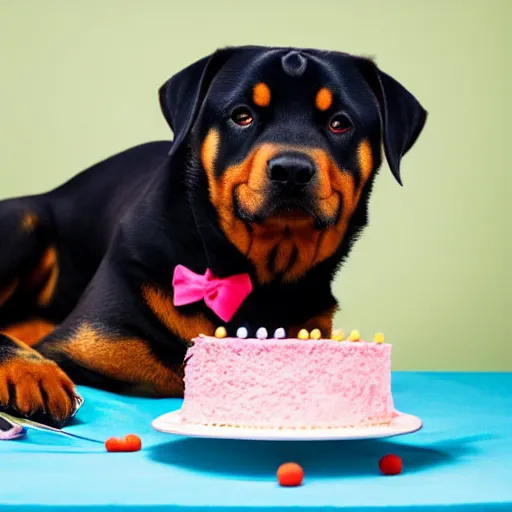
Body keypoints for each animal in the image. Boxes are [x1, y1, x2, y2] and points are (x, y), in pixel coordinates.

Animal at [0, 46, 426, 426]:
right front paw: (33, 371)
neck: (259, 277)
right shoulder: (86, 344)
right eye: (242, 116)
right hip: (23, 221)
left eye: (340, 122)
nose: (291, 169)